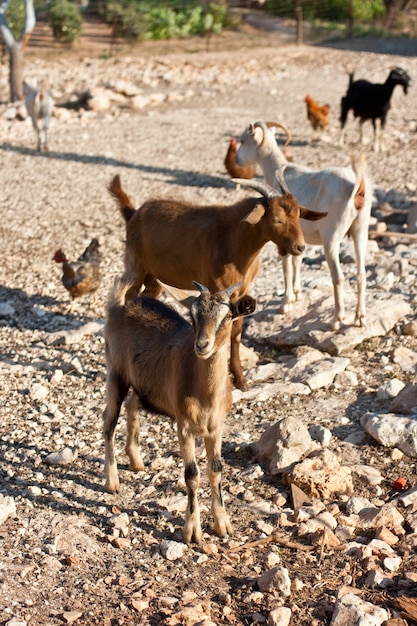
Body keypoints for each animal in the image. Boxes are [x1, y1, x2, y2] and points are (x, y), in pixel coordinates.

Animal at [102, 278, 255, 540]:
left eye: (227, 316)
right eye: (192, 316)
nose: (202, 345)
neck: (205, 394)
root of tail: (119, 306)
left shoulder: (216, 428)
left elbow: (216, 470)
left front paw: (222, 524)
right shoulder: (184, 426)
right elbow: (192, 474)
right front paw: (191, 531)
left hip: (139, 384)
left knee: (132, 405)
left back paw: (136, 461)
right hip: (116, 374)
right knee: (108, 422)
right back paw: (112, 482)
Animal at [108, 176, 324, 388]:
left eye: (298, 215)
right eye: (277, 219)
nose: (300, 247)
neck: (232, 242)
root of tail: (135, 213)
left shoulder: (241, 292)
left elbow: (235, 334)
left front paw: (240, 379)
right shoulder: (216, 288)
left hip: (155, 278)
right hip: (136, 267)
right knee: (130, 296)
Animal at [236, 119, 372, 330]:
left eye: (243, 140)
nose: (236, 159)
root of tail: (357, 187)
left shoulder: (281, 238)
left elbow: (286, 265)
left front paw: (286, 303)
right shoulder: (299, 237)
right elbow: (297, 261)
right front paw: (297, 293)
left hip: (331, 237)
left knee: (339, 277)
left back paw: (336, 319)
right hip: (361, 230)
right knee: (361, 274)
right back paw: (360, 317)